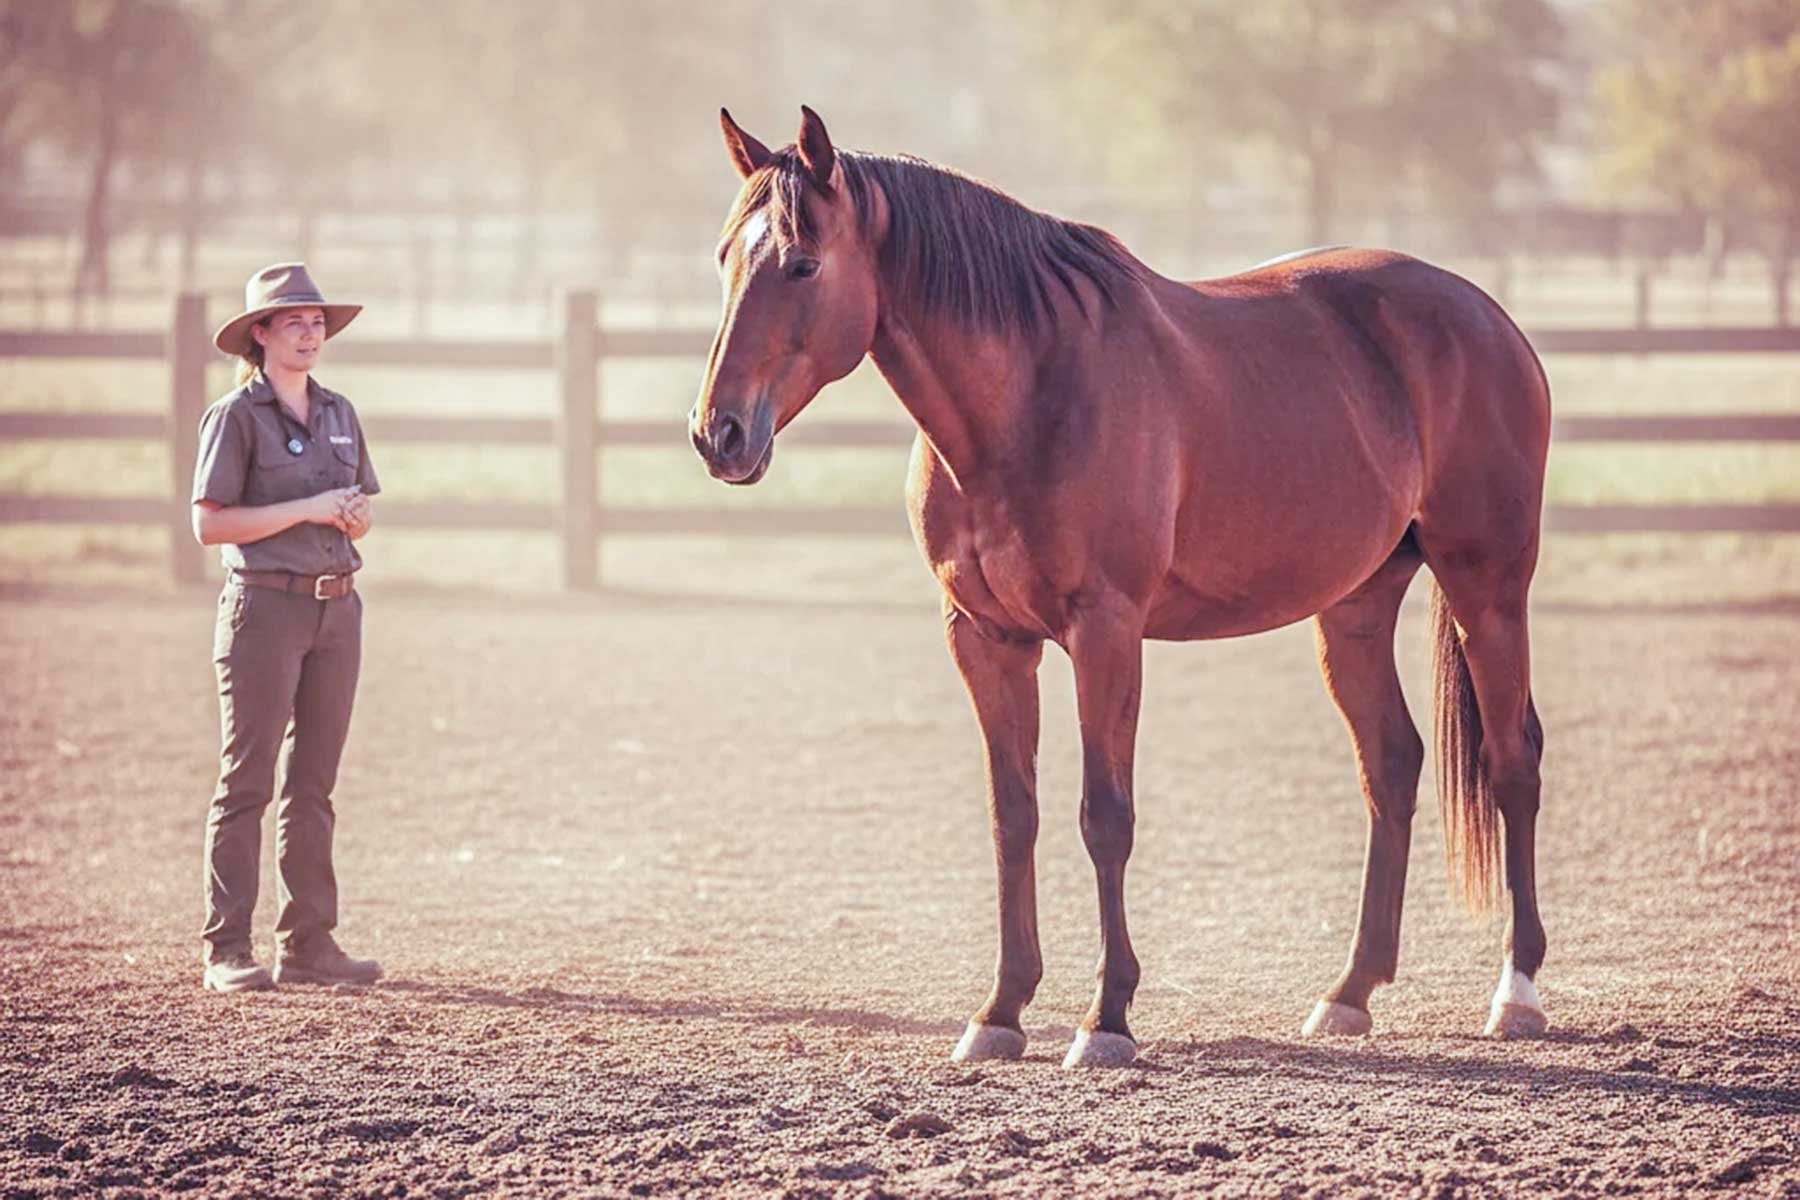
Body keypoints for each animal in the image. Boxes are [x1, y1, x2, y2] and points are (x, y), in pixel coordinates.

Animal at [689, 106, 1551, 1069]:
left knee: (1512, 761)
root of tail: (1490, 318)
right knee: (1392, 764)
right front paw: (1000, 1010)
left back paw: (1515, 992)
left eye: (802, 263)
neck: (1028, 396)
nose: (719, 433)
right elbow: (1013, 815)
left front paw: (1106, 1018)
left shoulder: (1105, 632)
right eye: (725, 258)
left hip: (1488, 586)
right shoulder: (985, 639)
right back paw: (1349, 993)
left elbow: (1105, 816)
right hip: (1354, 608)